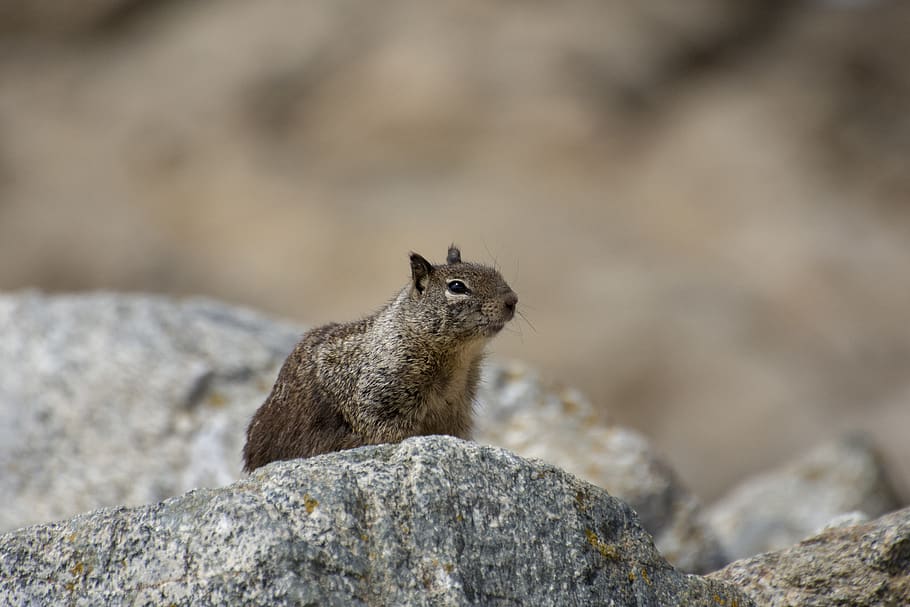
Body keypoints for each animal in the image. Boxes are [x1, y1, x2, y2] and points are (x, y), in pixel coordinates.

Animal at [242, 245, 518, 472]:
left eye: (494, 272)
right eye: (457, 287)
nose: (512, 300)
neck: (458, 360)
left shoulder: (456, 411)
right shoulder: (382, 397)